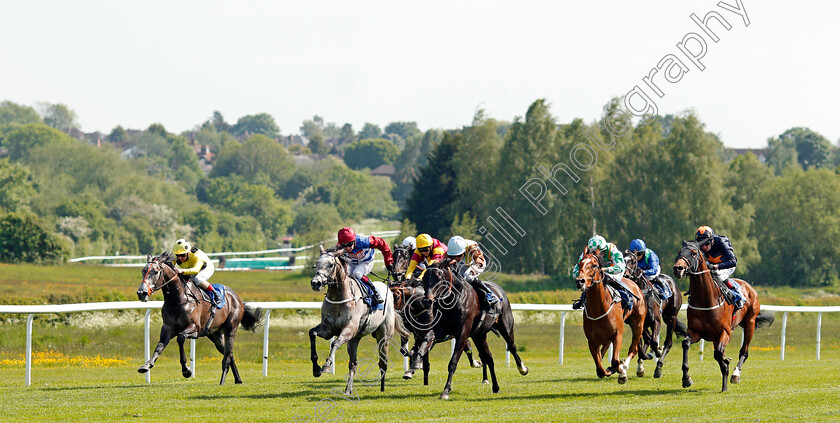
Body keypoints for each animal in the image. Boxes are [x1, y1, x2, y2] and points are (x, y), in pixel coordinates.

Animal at [135, 252, 262, 388]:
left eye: (155, 272)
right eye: (143, 271)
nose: (141, 293)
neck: (178, 299)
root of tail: (237, 298)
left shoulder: (194, 328)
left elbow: (180, 338)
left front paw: (186, 371)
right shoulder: (168, 327)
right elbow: (160, 346)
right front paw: (146, 365)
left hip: (231, 328)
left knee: (227, 355)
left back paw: (222, 381)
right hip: (215, 335)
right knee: (229, 354)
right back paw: (238, 379)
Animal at [414, 262, 524, 400]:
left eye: (439, 277)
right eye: (424, 278)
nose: (427, 301)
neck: (454, 300)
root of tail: (499, 290)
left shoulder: (462, 333)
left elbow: (453, 362)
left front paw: (445, 391)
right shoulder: (440, 330)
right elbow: (426, 340)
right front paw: (416, 361)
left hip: (506, 326)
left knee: (512, 346)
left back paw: (522, 368)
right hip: (479, 336)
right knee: (489, 358)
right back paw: (495, 386)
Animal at [576, 253, 648, 386]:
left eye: (594, 265)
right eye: (579, 264)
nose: (580, 281)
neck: (598, 308)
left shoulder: (617, 334)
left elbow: (615, 360)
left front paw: (621, 370)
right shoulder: (592, 341)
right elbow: (600, 368)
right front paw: (609, 370)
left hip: (638, 325)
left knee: (633, 349)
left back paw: (625, 370)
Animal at [620, 250, 684, 380]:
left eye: (633, 261)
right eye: (623, 259)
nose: (625, 275)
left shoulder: (656, 321)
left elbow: (654, 342)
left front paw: (657, 352)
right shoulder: (638, 323)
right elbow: (642, 345)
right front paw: (646, 357)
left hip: (671, 317)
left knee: (668, 343)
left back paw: (658, 367)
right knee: (647, 340)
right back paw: (641, 366)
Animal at [672, 242, 776, 394]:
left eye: (693, 253)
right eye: (679, 252)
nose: (678, 268)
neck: (706, 300)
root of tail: (749, 287)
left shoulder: (725, 332)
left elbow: (719, 354)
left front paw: (727, 369)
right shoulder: (695, 332)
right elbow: (686, 344)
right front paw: (686, 379)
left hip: (750, 323)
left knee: (744, 352)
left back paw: (735, 375)